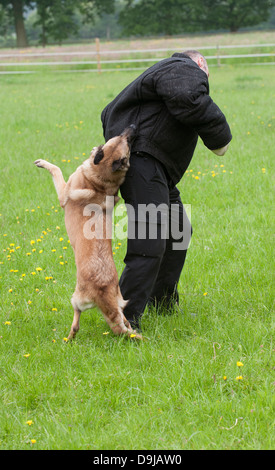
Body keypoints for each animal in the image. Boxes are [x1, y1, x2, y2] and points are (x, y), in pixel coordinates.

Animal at [34, 125, 142, 338]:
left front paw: (42, 163)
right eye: (123, 138)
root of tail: (104, 292)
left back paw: (68, 339)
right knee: (124, 320)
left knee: (76, 322)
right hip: (119, 302)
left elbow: (56, 169)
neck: (99, 182)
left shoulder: (63, 193)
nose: (133, 127)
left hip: (76, 299)